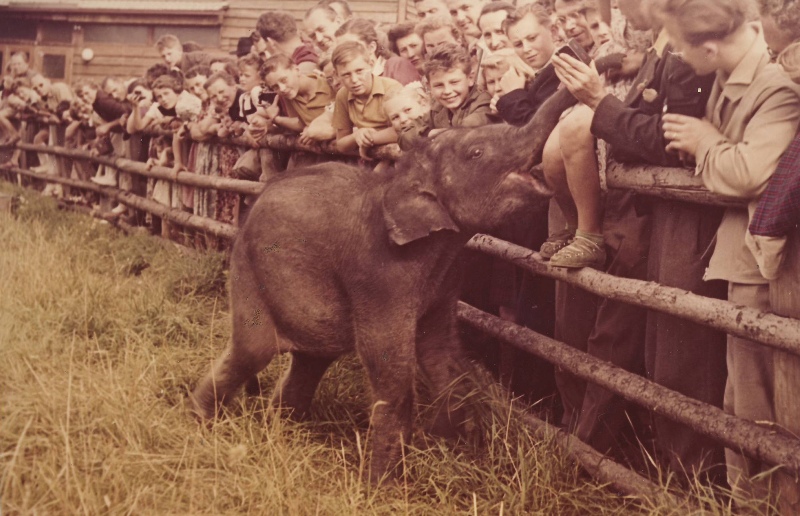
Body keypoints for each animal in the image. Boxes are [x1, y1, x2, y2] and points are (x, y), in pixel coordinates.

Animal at [191, 82, 584, 482]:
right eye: (476, 153)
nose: (575, 78)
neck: (403, 180)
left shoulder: (445, 277)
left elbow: (441, 353)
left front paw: (460, 450)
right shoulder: (379, 274)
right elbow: (390, 366)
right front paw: (379, 485)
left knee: (311, 360)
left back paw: (282, 428)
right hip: (248, 268)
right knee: (253, 351)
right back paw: (201, 422)